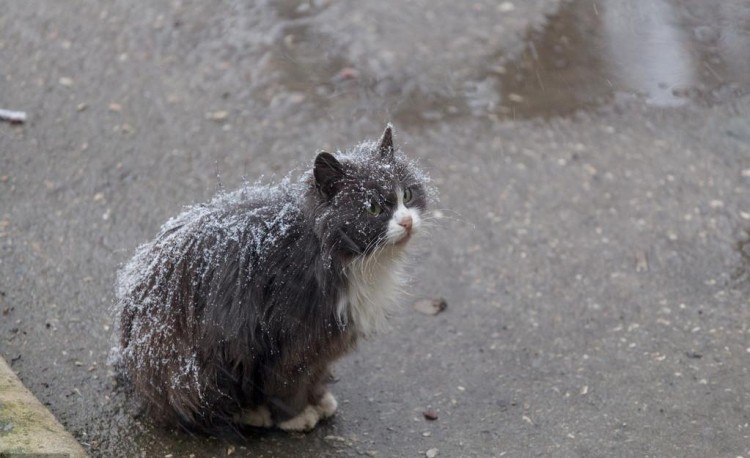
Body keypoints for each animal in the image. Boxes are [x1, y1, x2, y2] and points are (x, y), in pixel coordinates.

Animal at [117, 125, 434, 432]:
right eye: (373, 208)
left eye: (407, 195)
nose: (407, 222)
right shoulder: (292, 336)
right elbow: (287, 382)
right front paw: (296, 417)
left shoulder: (325, 342)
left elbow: (315, 373)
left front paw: (319, 400)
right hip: (202, 364)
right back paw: (251, 413)